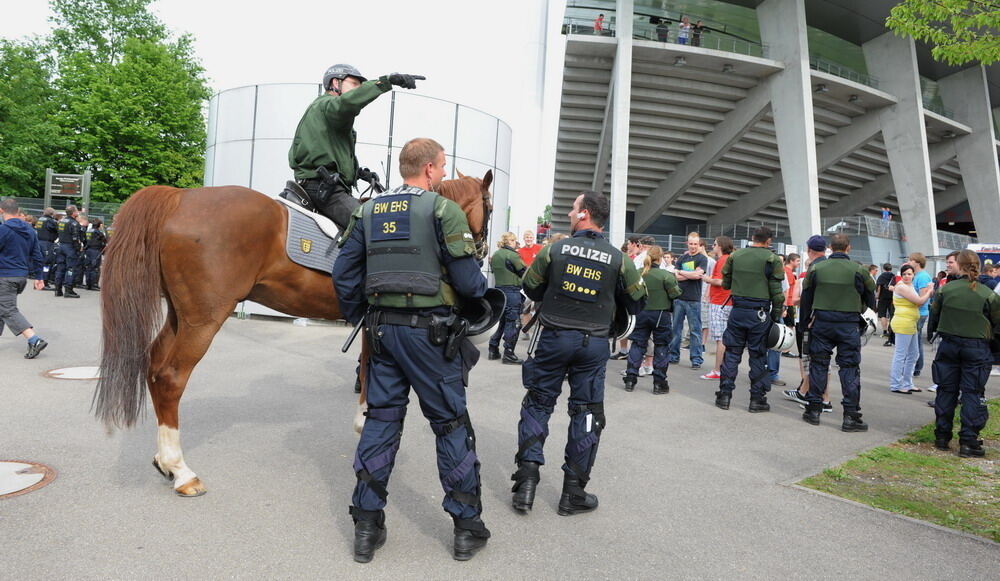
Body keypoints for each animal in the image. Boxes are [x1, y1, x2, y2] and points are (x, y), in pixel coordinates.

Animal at [95, 170, 494, 496]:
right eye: (490, 207)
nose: (480, 251)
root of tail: (180, 197)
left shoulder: (373, 321)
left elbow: (368, 370)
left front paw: (364, 423)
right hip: (203, 320)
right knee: (171, 377)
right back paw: (181, 471)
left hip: (180, 316)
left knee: (153, 366)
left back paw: (163, 460)